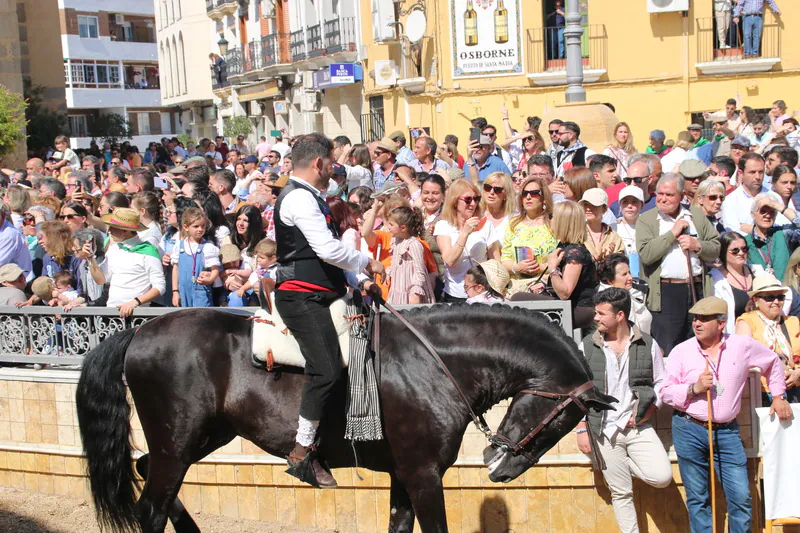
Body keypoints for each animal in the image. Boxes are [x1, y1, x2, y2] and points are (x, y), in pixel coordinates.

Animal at [76, 304, 612, 532]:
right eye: (563, 419)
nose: (499, 465)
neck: (435, 360)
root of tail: (139, 331)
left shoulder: (403, 475)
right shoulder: (423, 474)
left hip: (201, 438)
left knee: (150, 479)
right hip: (179, 441)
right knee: (151, 507)